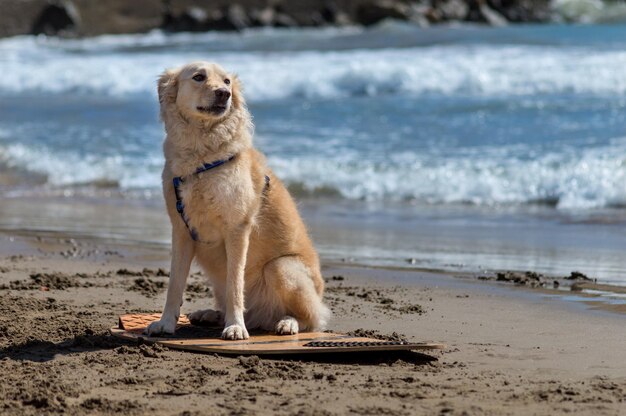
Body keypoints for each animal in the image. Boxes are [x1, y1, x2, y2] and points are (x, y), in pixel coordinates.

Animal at [144, 61, 330, 340]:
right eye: (198, 77)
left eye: (227, 81)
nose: (224, 94)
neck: (202, 157)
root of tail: (261, 318)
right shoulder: (181, 231)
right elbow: (175, 285)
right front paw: (165, 323)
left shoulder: (237, 230)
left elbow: (235, 284)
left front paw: (235, 327)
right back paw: (210, 314)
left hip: (282, 268)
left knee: (312, 319)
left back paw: (287, 323)